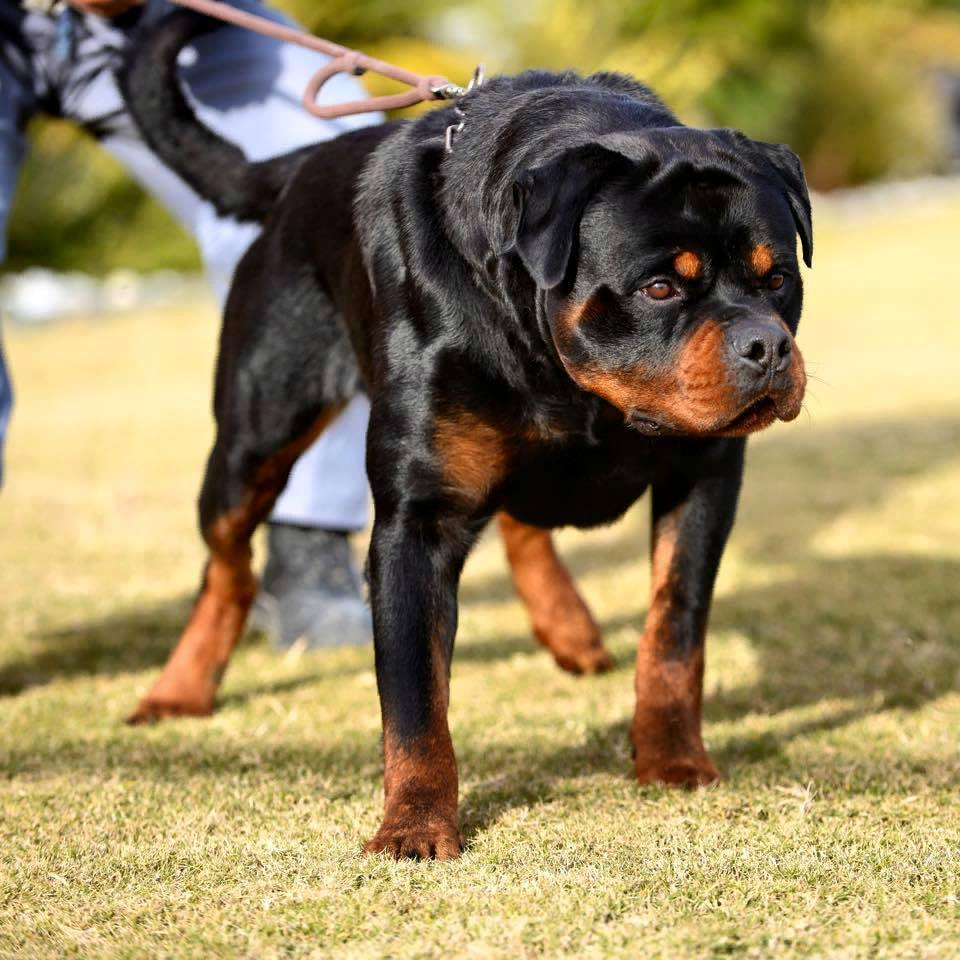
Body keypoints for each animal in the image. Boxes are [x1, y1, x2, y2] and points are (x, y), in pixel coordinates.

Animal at [118, 11, 808, 860]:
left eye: (778, 279)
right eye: (658, 287)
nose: (767, 346)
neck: (567, 379)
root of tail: (298, 169)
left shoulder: (704, 475)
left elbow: (674, 629)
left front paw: (673, 758)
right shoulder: (419, 517)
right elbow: (416, 698)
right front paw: (414, 825)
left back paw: (569, 626)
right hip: (253, 435)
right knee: (227, 564)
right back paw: (179, 688)